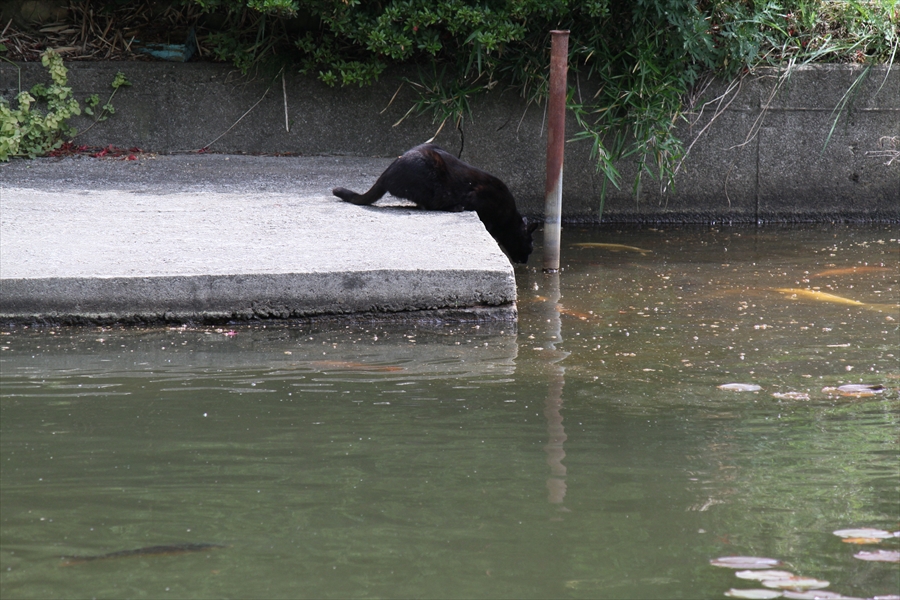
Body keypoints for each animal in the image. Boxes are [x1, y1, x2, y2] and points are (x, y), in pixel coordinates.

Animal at [334, 144, 536, 264]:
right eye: (530, 247)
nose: (525, 261)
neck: (508, 217)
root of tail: (388, 170)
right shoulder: (478, 197)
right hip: (431, 176)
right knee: (429, 204)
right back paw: (455, 207)